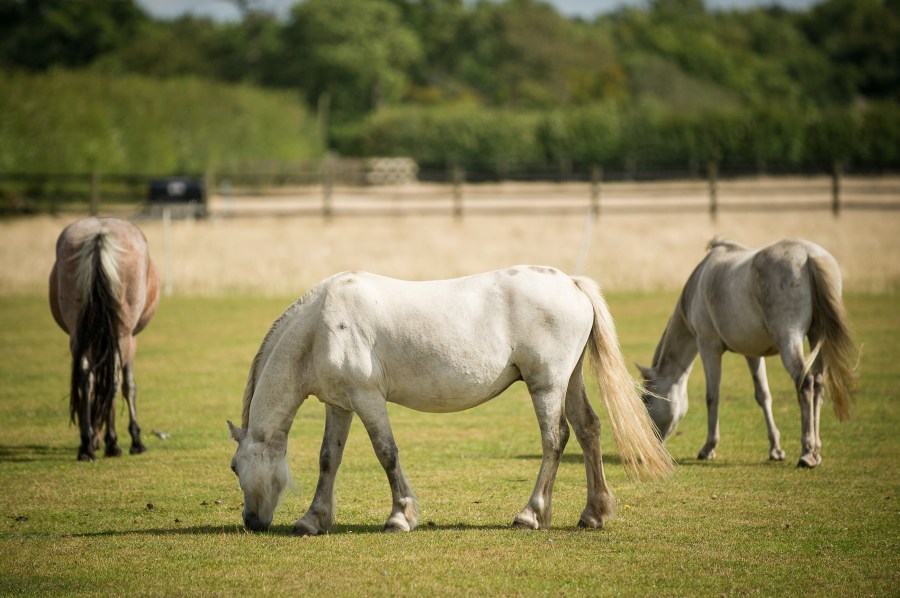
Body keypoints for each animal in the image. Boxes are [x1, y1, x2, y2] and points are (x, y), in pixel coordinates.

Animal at [49, 218, 159, 462]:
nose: (96, 438)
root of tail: (99, 234)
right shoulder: (131, 339)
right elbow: (129, 385)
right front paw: (135, 440)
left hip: (78, 334)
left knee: (85, 377)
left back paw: (87, 446)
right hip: (123, 336)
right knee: (114, 381)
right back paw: (112, 443)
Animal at [229, 266, 672, 536]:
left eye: (234, 467)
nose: (251, 521)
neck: (321, 324)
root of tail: (570, 282)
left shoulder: (367, 398)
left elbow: (386, 452)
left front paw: (400, 515)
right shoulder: (339, 404)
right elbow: (328, 459)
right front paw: (313, 519)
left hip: (546, 384)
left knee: (555, 439)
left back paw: (530, 514)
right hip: (570, 379)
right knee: (588, 430)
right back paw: (593, 513)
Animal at [636, 239, 856, 468]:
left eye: (646, 399)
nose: (650, 446)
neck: (698, 285)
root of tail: (809, 255)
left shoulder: (708, 346)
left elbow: (712, 396)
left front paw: (708, 448)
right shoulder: (752, 353)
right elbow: (763, 395)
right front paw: (775, 449)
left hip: (790, 339)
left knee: (805, 384)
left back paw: (807, 452)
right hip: (817, 336)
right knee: (819, 385)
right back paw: (816, 450)